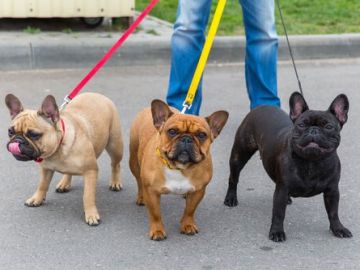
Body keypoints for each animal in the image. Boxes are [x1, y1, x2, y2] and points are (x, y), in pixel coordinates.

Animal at [129, 99, 228, 240]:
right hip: (134, 162)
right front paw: (157, 230)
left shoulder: (198, 191)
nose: (186, 138)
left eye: (201, 135)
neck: (179, 167)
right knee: (139, 181)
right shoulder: (152, 192)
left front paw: (187, 225)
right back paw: (141, 197)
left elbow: (190, 210)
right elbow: (155, 213)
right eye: (172, 131)